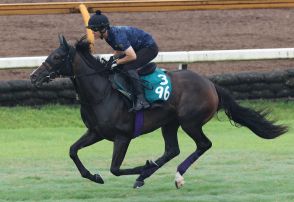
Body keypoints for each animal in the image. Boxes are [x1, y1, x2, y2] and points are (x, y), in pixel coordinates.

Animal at [29, 35, 288, 189]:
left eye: (57, 57)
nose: (33, 76)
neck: (101, 93)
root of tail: (211, 84)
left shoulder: (123, 136)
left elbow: (115, 168)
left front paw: (142, 167)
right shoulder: (96, 132)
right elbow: (73, 151)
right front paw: (94, 176)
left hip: (190, 122)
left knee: (203, 145)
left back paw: (173, 176)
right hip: (169, 123)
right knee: (172, 149)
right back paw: (147, 175)